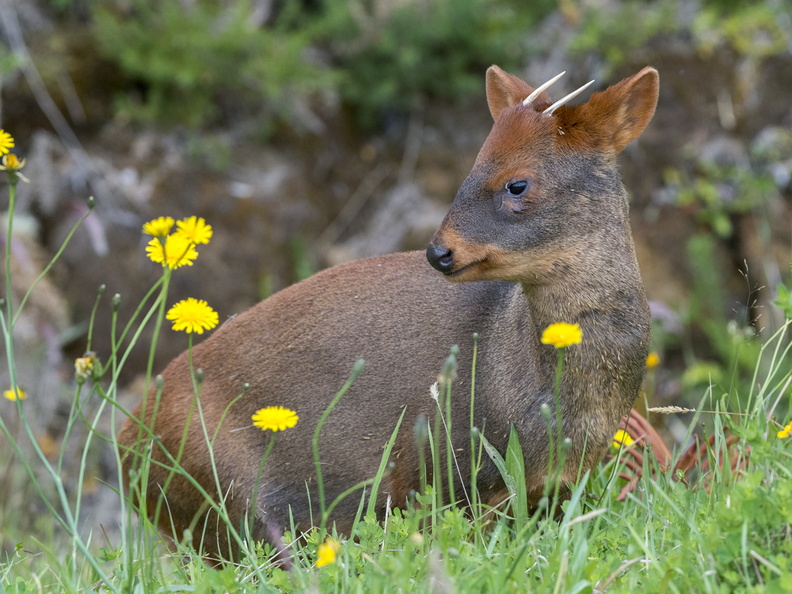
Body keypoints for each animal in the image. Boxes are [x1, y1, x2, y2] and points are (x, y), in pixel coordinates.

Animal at [120, 66, 660, 560]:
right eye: (471, 168)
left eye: (517, 184)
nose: (438, 252)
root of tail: (128, 449)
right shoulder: (443, 469)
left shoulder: (558, 488)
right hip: (235, 497)